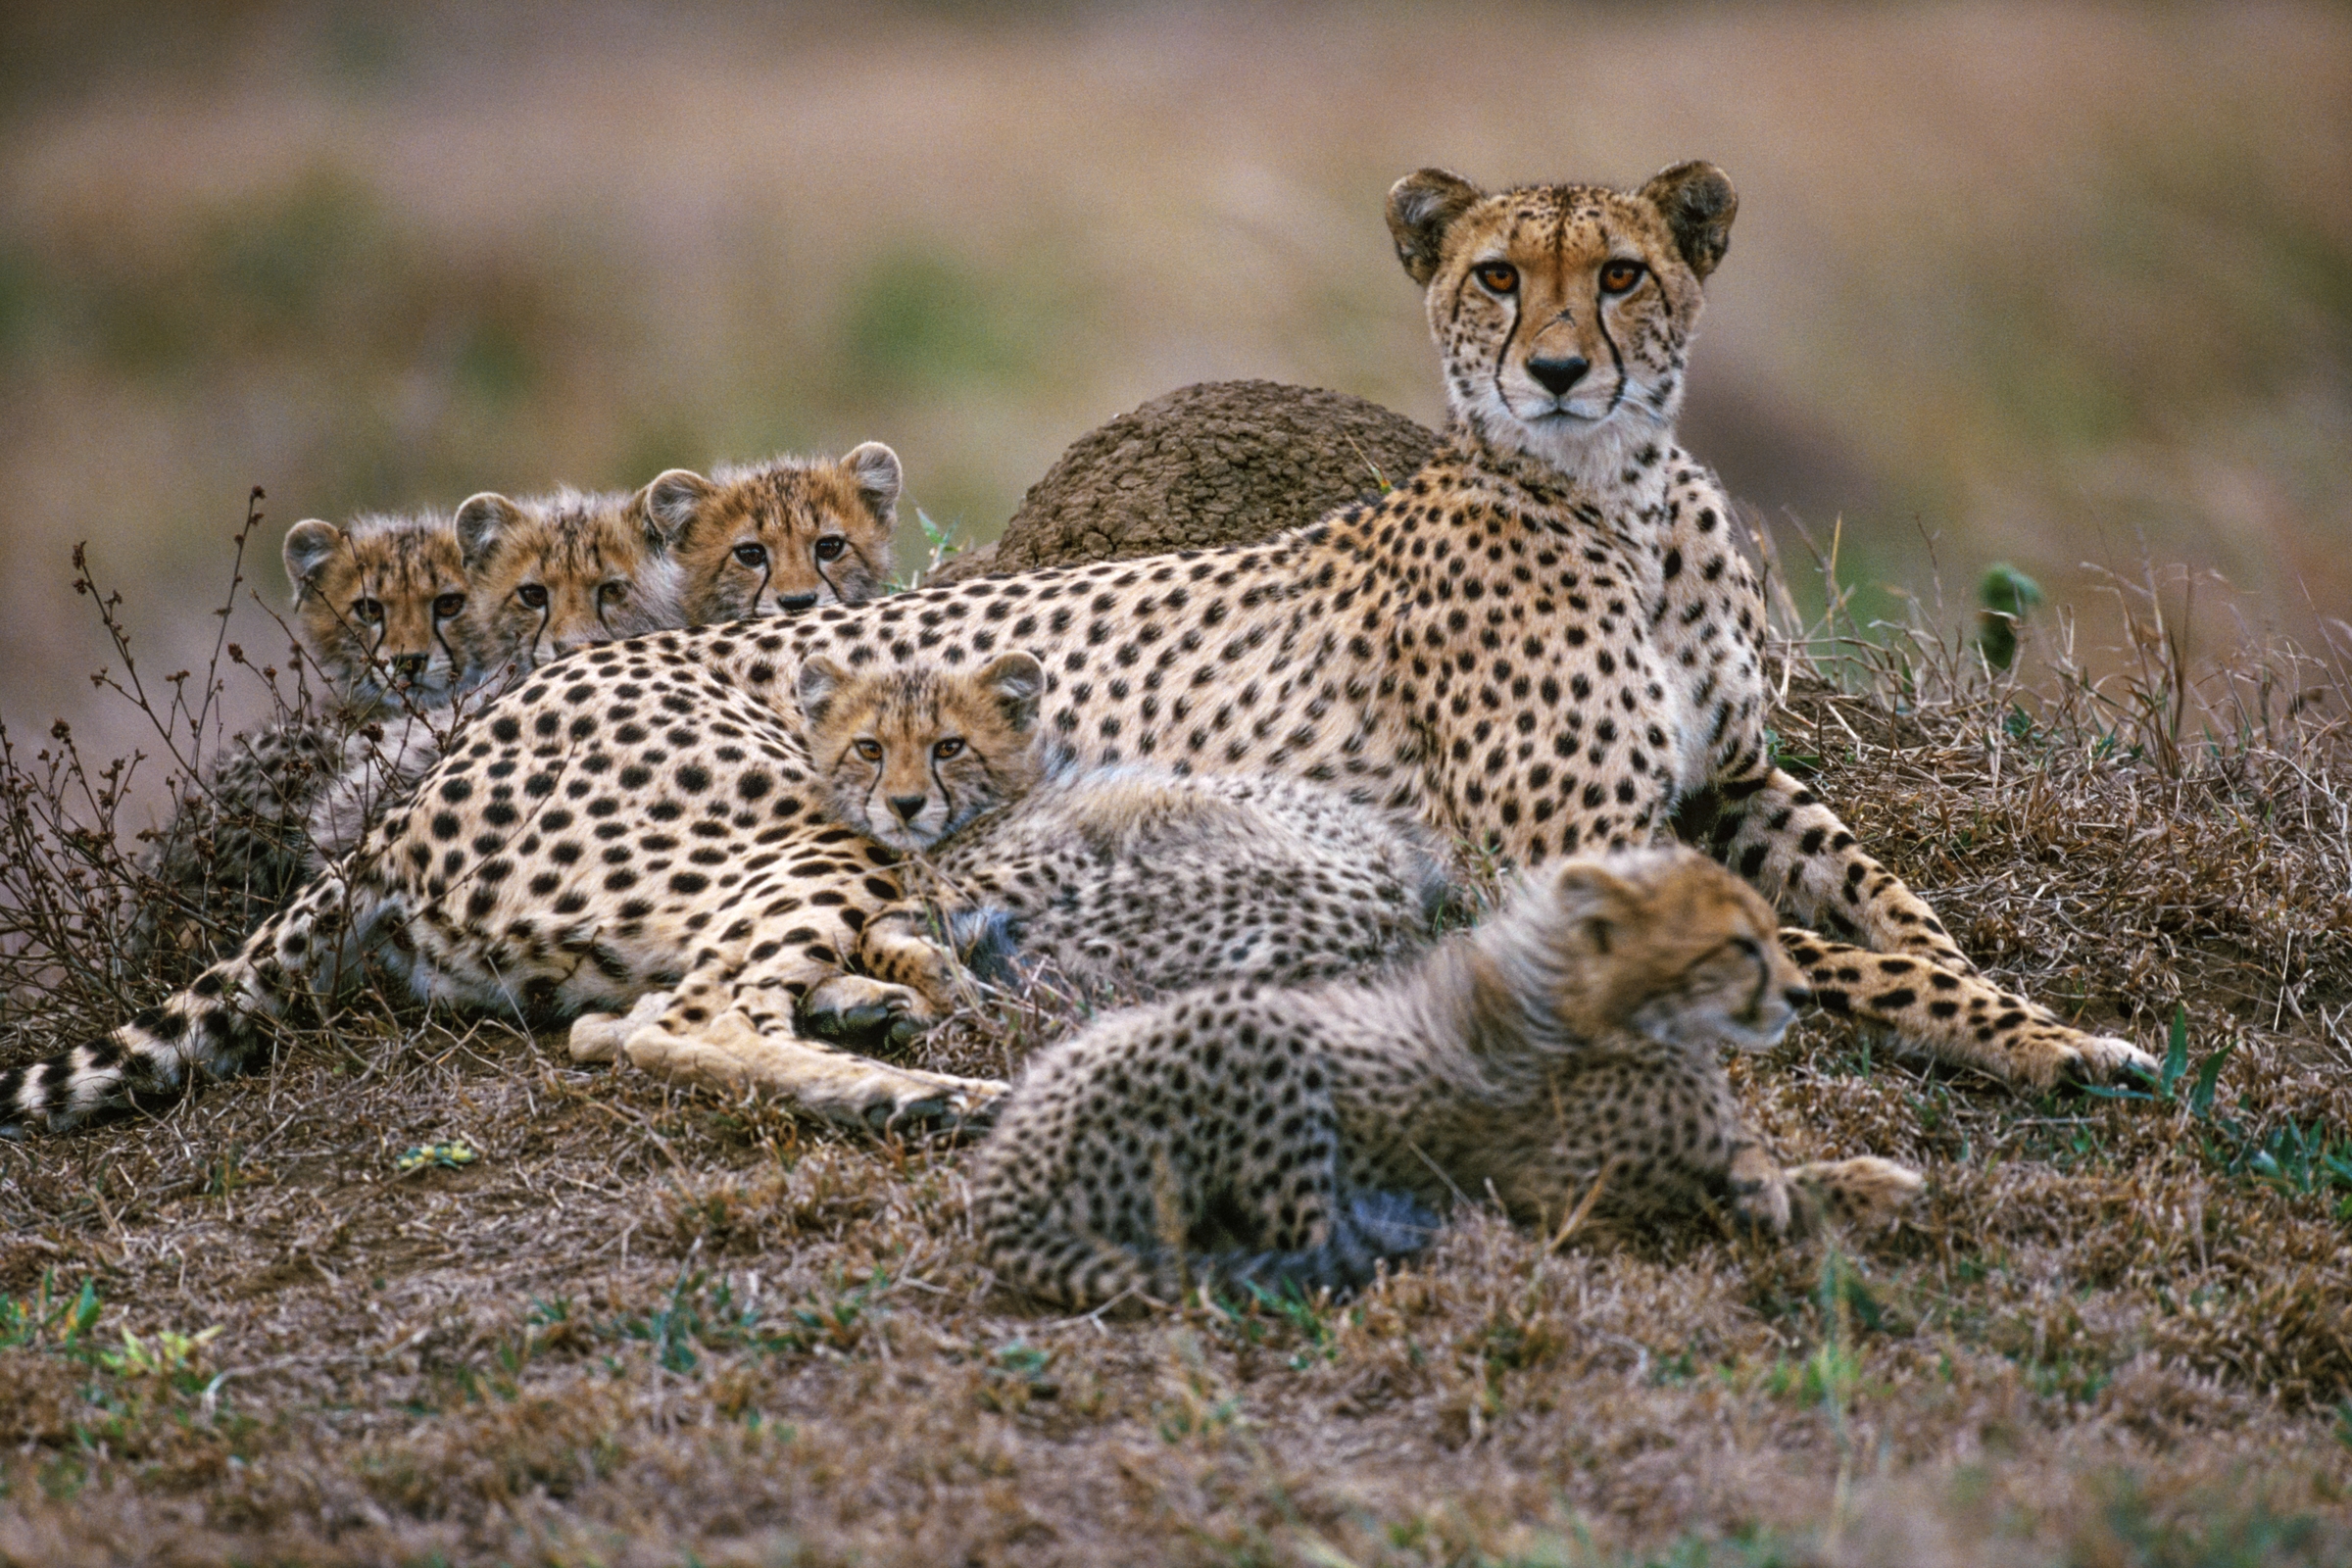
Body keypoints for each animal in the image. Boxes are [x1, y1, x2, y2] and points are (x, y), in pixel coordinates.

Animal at [3, 159, 2157, 1138]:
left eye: (1621, 270)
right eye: (1493, 275)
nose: (1554, 363)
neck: (1620, 494)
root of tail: (421, 770)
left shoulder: (1735, 775)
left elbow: (1892, 907)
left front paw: (2036, 1009)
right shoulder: (1570, 850)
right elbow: (1816, 945)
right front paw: (2048, 1045)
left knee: (666, 1000)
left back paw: (901, 1014)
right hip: (798, 819)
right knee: (653, 1020)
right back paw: (914, 1089)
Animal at [970, 845, 1927, 1310]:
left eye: (1772, 932)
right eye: (1738, 945)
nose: (1800, 994)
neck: (1619, 1021)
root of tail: (1007, 1172)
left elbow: (1775, 1168)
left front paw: (1869, 1181)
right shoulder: (1572, 1199)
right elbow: (1733, 1196)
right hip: (1256, 1035)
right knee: (1299, 1240)